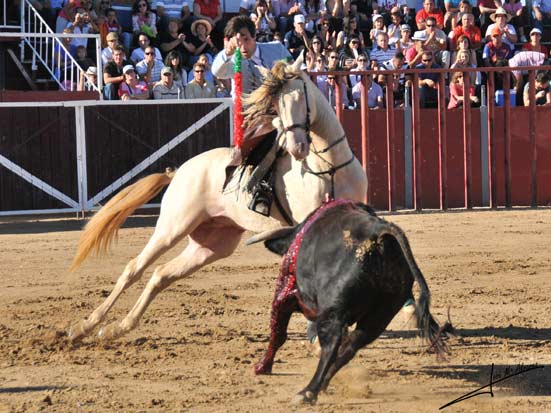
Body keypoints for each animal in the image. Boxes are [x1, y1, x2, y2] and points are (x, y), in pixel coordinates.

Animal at [70, 60, 366, 342]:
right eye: (276, 106)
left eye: (301, 96)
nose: (297, 148)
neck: (330, 167)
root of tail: (179, 170)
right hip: (172, 228)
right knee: (135, 268)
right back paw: (86, 326)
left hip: (211, 245)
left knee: (161, 274)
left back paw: (117, 327)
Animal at [246, 200, 448, 402]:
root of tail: (378, 232)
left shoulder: (284, 294)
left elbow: (278, 334)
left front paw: (262, 367)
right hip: (380, 315)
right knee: (351, 345)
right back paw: (324, 383)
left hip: (333, 312)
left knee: (331, 345)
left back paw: (308, 391)